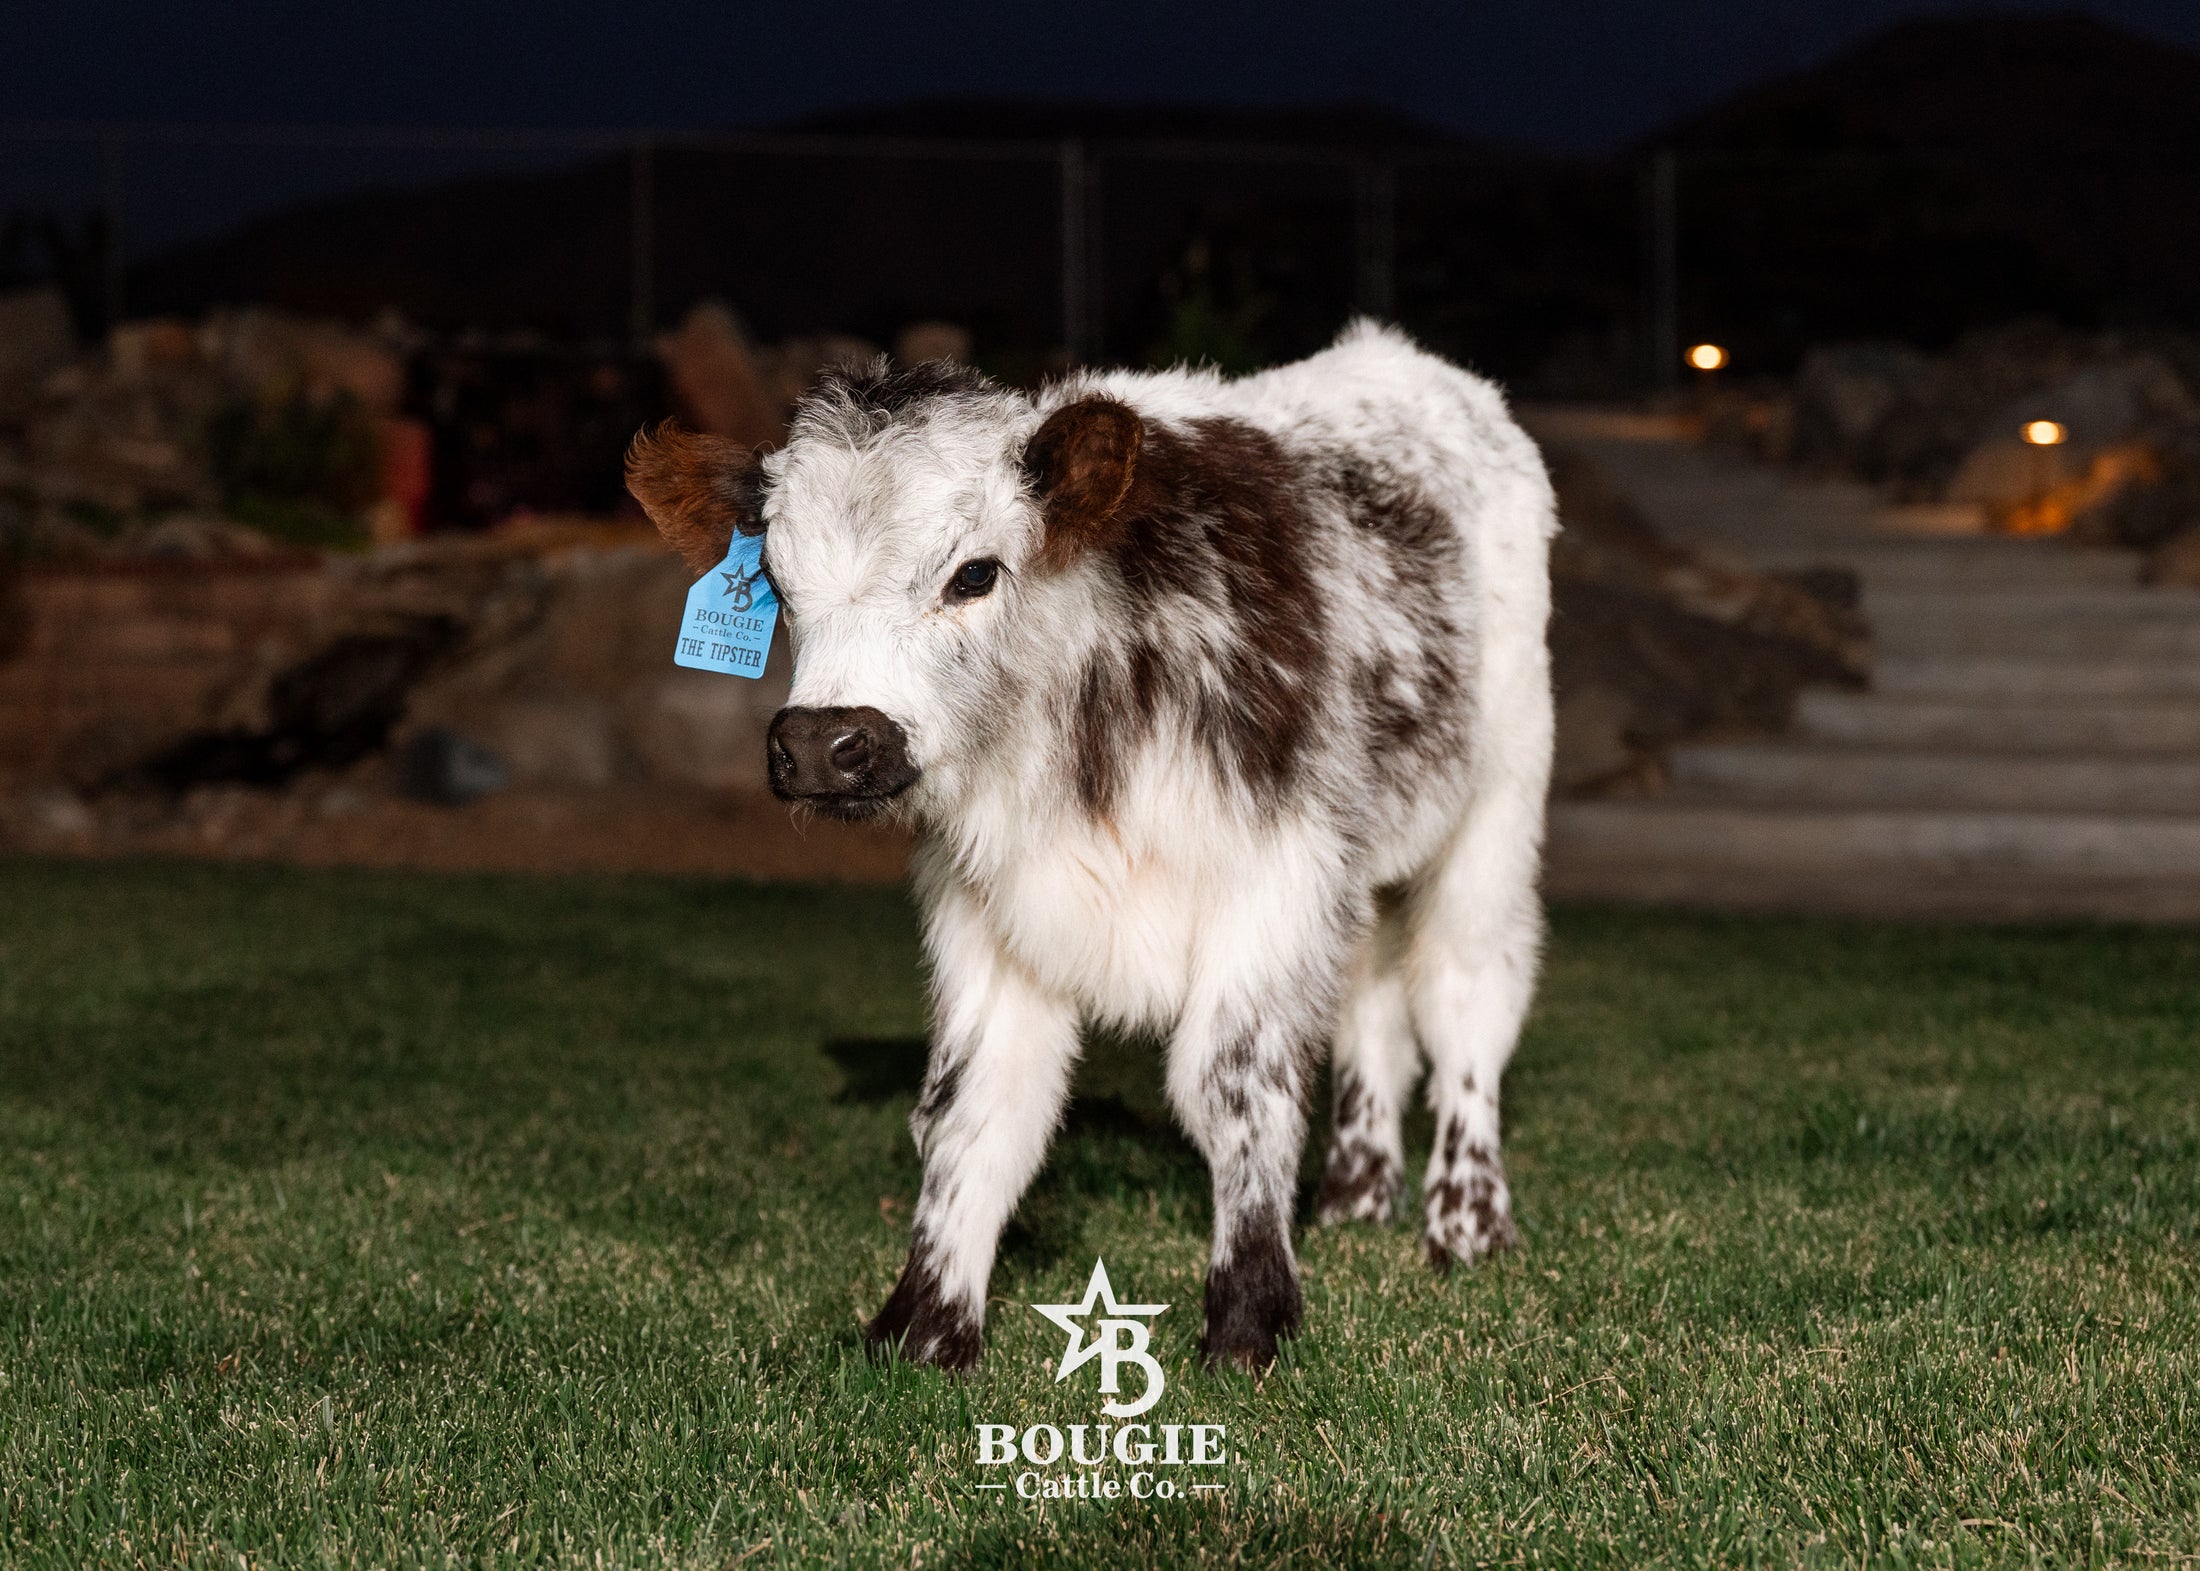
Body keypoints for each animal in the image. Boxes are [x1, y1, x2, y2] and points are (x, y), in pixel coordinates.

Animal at [626, 322, 1556, 1372]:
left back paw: (1467, 1216)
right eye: (776, 586)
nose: (825, 744)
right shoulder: (986, 903)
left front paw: (1250, 1316)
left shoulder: (1278, 871)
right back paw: (1359, 1190)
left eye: (975, 572)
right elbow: (973, 1106)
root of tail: (1401, 359)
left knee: (1464, 995)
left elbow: (1236, 1082)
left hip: (1498, 802)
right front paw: (925, 1323)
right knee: (1370, 997)